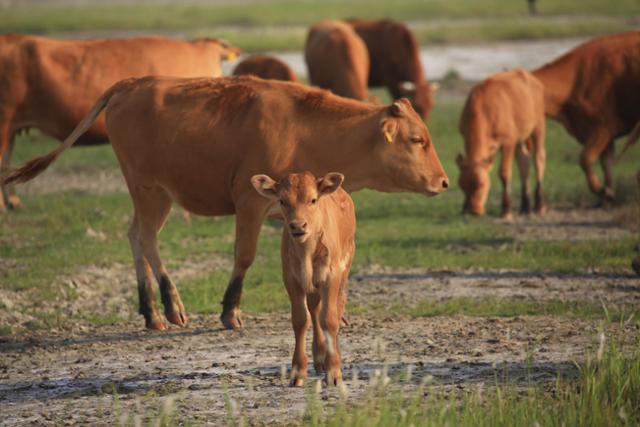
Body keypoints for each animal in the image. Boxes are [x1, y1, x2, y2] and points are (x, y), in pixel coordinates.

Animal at [3, 76, 450, 332]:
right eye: (417, 139)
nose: (443, 182)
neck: (307, 128)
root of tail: (129, 85)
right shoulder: (250, 203)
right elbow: (244, 257)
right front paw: (230, 312)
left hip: (157, 195)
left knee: (135, 236)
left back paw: (150, 310)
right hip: (149, 189)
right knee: (147, 238)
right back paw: (170, 306)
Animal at [252, 171, 358, 388]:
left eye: (313, 200)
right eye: (282, 201)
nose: (298, 226)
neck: (306, 251)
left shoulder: (331, 276)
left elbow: (330, 319)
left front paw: (334, 372)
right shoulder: (291, 279)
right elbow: (301, 319)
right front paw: (298, 372)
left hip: (344, 272)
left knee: (337, 307)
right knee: (315, 311)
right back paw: (319, 358)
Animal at [528, 31, 640, 202]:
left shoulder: (603, 127)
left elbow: (585, 158)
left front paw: (600, 190)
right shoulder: (601, 134)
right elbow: (606, 166)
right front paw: (607, 194)